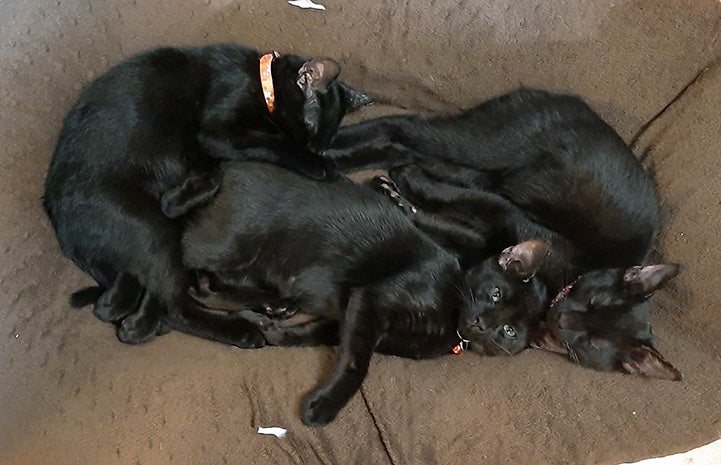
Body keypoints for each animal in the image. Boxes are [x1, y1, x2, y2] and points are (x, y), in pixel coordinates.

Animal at [43, 44, 372, 340]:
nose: (316, 151)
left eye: (324, 139)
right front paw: (319, 167)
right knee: (175, 306)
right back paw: (241, 330)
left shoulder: (211, 149)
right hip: (152, 231)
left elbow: (215, 171)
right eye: (309, 128)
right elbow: (271, 144)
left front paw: (177, 198)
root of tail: (59, 221)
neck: (259, 81)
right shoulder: (217, 130)